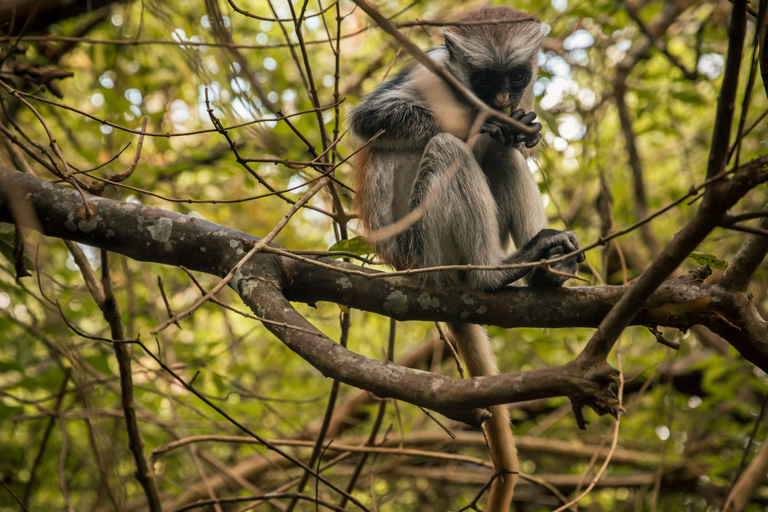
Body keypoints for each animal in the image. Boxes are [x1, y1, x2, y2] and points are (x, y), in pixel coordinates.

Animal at [349, 6, 584, 511]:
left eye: (516, 77)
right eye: (485, 78)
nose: (502, 99)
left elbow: (514, 138)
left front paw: (520, 125)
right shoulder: (430, 67)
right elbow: (367, 119)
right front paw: (483, 123)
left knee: (501, 156)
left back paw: (544, 272)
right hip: (420, 246)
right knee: (447, 147)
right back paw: (492, 275)